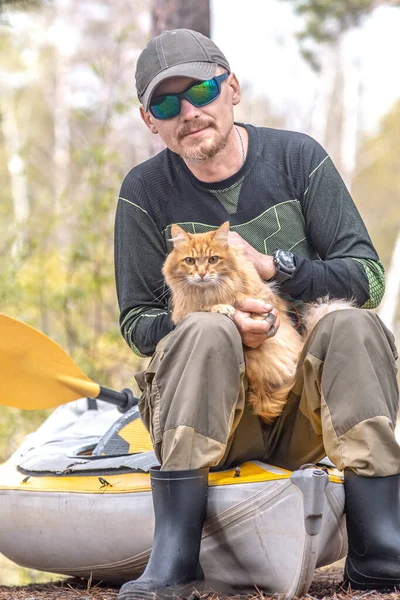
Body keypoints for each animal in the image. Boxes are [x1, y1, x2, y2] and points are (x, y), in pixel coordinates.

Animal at [162, 220, 354, 422]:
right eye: (190, 261)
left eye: (213, 259)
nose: (202, 274)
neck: (208, 292)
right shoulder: (183, 311)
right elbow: (203, 308)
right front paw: (222, 307)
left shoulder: (261, 295)